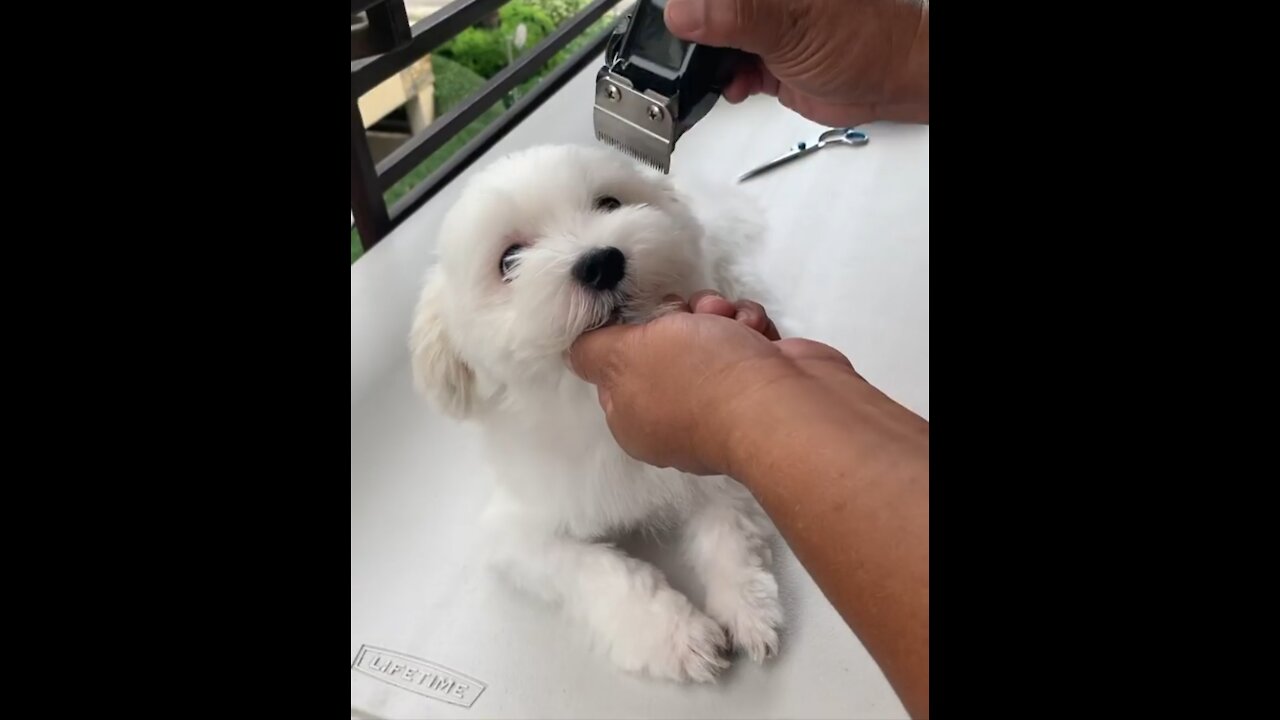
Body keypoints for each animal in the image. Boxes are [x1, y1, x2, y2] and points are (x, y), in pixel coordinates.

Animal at [409, 144, 778, 676]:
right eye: (509, 260)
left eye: (608, 203)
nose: (601, 262)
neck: (586, 397)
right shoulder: (518, 533)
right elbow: (599, 570)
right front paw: (677, 636)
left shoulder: (709, 461)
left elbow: (728, 530)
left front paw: (748, 604)